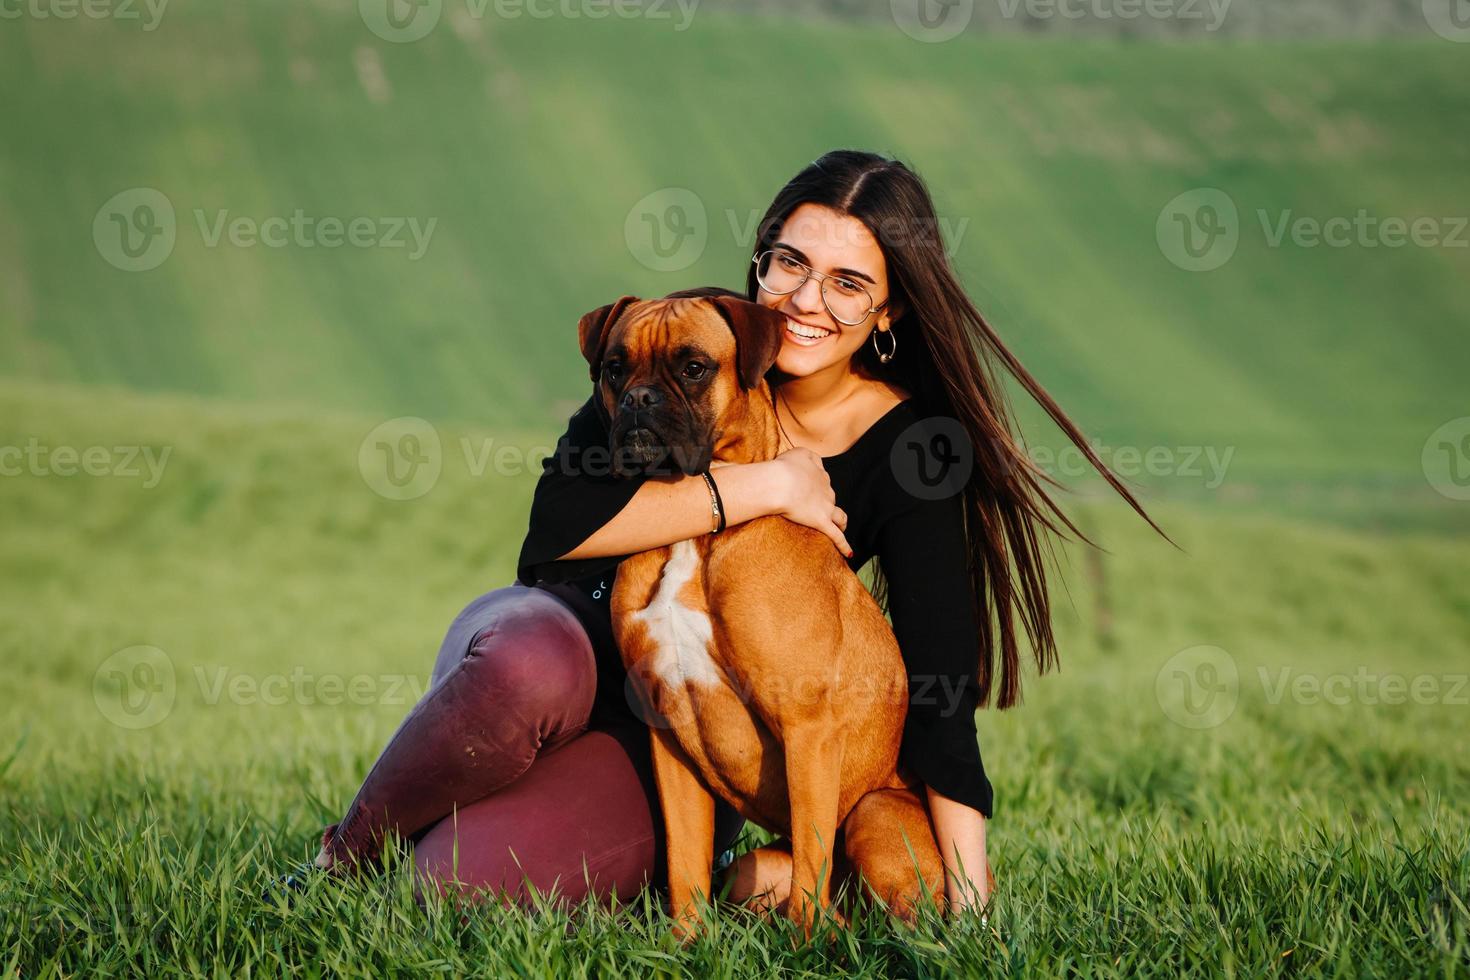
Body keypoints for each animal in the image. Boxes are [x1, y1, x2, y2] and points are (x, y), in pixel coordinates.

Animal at [573, 289, 987, 940]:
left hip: (874, 812)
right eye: (615, 368)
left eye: (694, 367)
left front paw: (803, 947)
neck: (696, 536)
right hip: (752, 869)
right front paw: (685, 944)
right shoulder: (668, 738)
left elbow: (811, 863)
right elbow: (684, 864)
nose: (639, 399)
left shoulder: (807, 729)